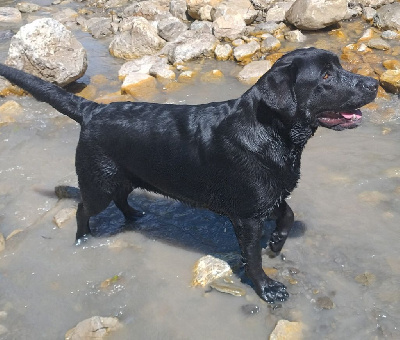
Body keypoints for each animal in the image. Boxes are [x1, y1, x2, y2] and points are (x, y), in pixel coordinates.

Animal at [0, 48, 376, 302]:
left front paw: (277, 241)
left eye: (338, 68)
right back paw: (83, 238)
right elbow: (254, 258)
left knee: (123, 197)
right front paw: (267, 287)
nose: (373, 84)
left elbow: (288, 213)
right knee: (83, 209)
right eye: (325, 76)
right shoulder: (248, 214)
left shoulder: (269, 194)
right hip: (97, 183)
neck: (272, 132)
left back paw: (135, 215)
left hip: (122, 176)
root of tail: (92, 109)